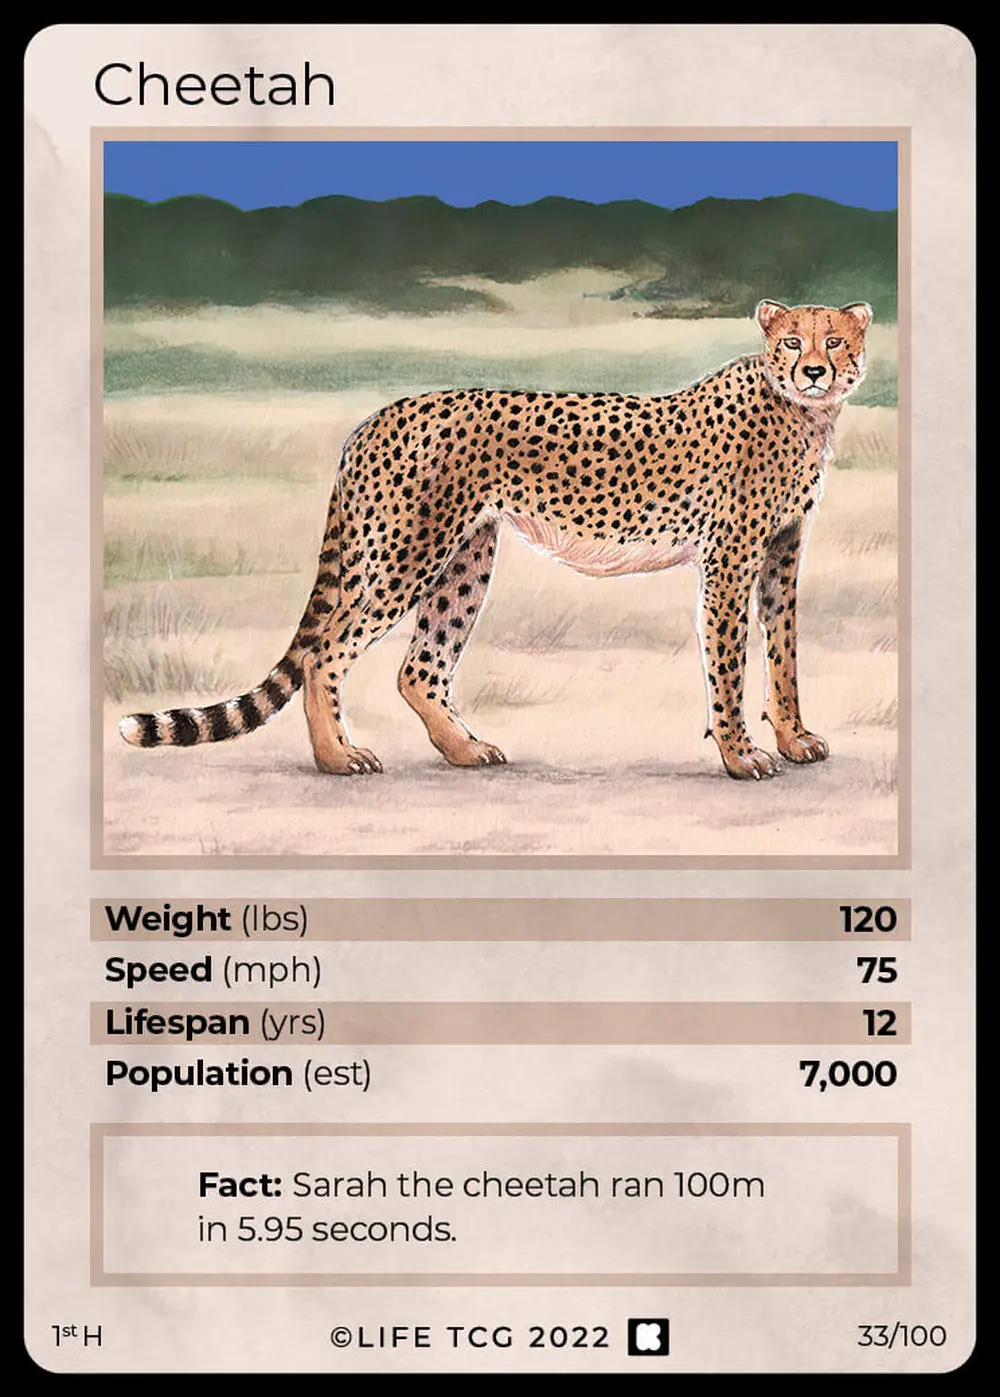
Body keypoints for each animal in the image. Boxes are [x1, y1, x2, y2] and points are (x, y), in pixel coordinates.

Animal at [119, 298, 872, 781]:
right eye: (791, 343)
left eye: (833, 341)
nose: (814, 371)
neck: (801, 413)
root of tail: (379, 416)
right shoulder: (729, 559)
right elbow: (729, 663)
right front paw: (741, 755)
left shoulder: (781, 554)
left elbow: (784, 653)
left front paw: (796, 738)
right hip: (407, 553)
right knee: (327, 651)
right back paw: (338, 758)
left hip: (465, 556)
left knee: (418, 668)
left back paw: (464, 750)